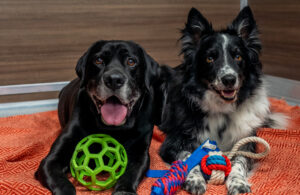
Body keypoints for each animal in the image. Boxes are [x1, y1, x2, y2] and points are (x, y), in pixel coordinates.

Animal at [35, 40, 161, 194]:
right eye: (99, 60)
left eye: (131, 61)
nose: (114, 80)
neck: (113, 128)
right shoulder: (51, 159)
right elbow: (60, 180)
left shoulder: (140, 154)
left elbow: (131, 174)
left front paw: (124, 190)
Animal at [158, 6, 288, 194]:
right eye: (210, 58)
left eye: (238, 57)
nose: (229, 79)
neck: (222, 108)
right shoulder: (172, 143)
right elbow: (188, 157)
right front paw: (195, 179)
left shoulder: (246, 141)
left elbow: (239, 161)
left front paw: (238, 182)